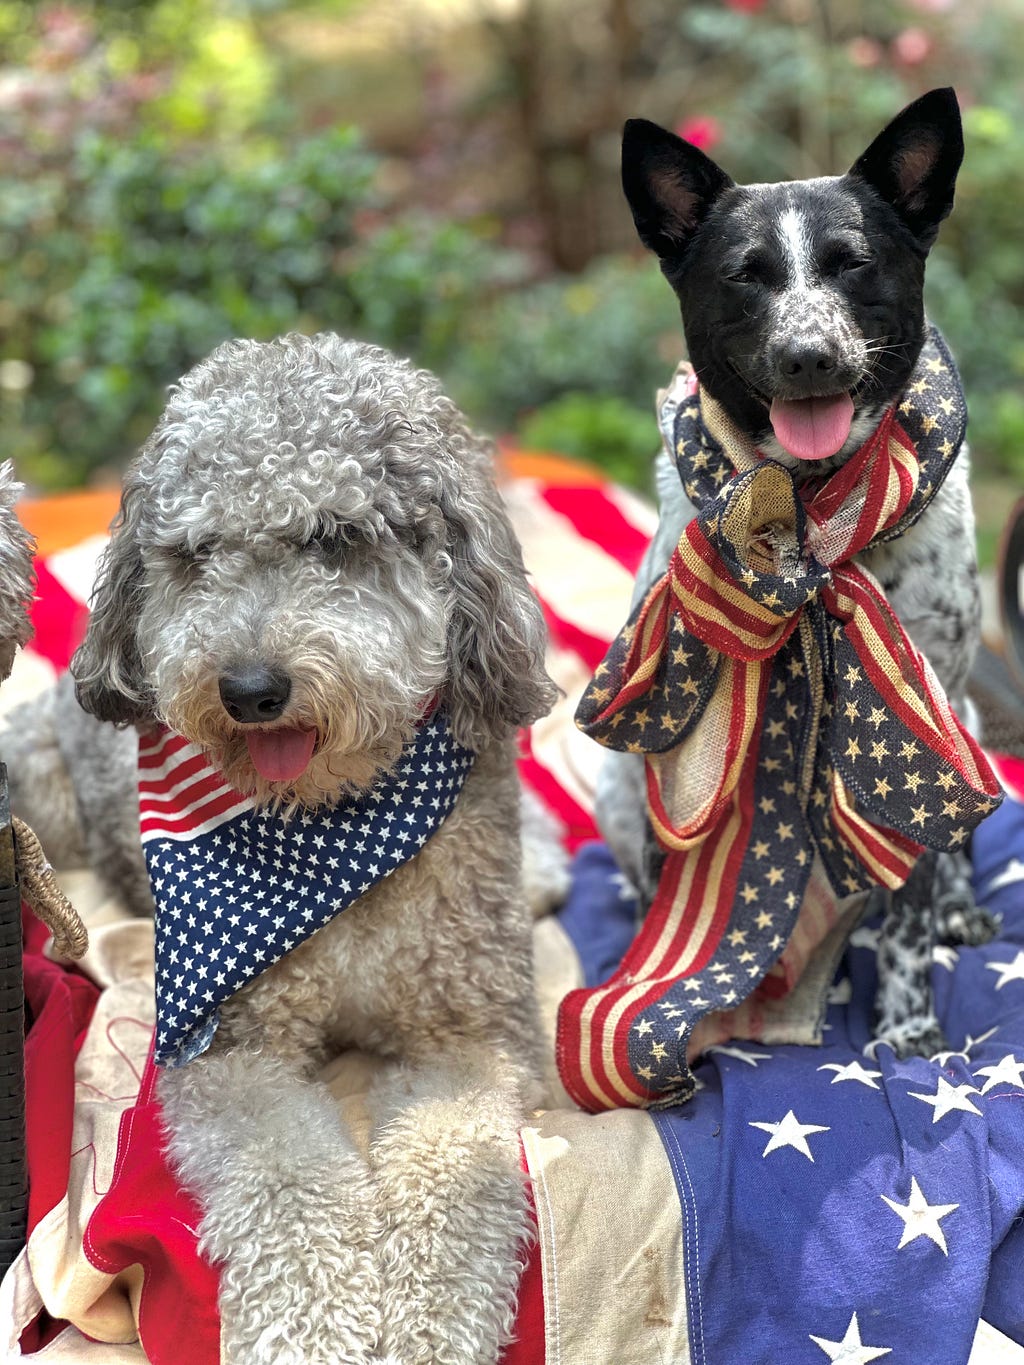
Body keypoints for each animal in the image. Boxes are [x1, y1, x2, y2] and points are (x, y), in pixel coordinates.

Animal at [600, 88, 993, 1053]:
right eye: (746, 275)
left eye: (854, 264)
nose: (809, 355)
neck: (811, 512)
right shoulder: (679, 750)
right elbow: (681, 907)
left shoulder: (918, 718)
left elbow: (912, 901)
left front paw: (906, 1028)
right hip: (617, 789)